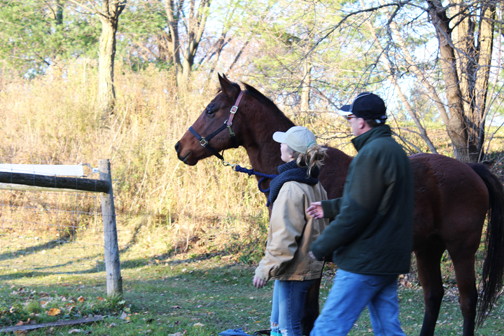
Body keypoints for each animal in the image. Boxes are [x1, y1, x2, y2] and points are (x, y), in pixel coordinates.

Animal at [174, 75, 504, 334]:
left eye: (211, 109)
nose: (180, 147)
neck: (305, 168)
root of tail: (471, 169)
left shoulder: (312, 263)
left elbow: (308, 316)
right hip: (428, 249)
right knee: (433, 297)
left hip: (461, 249)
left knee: (467, 300)